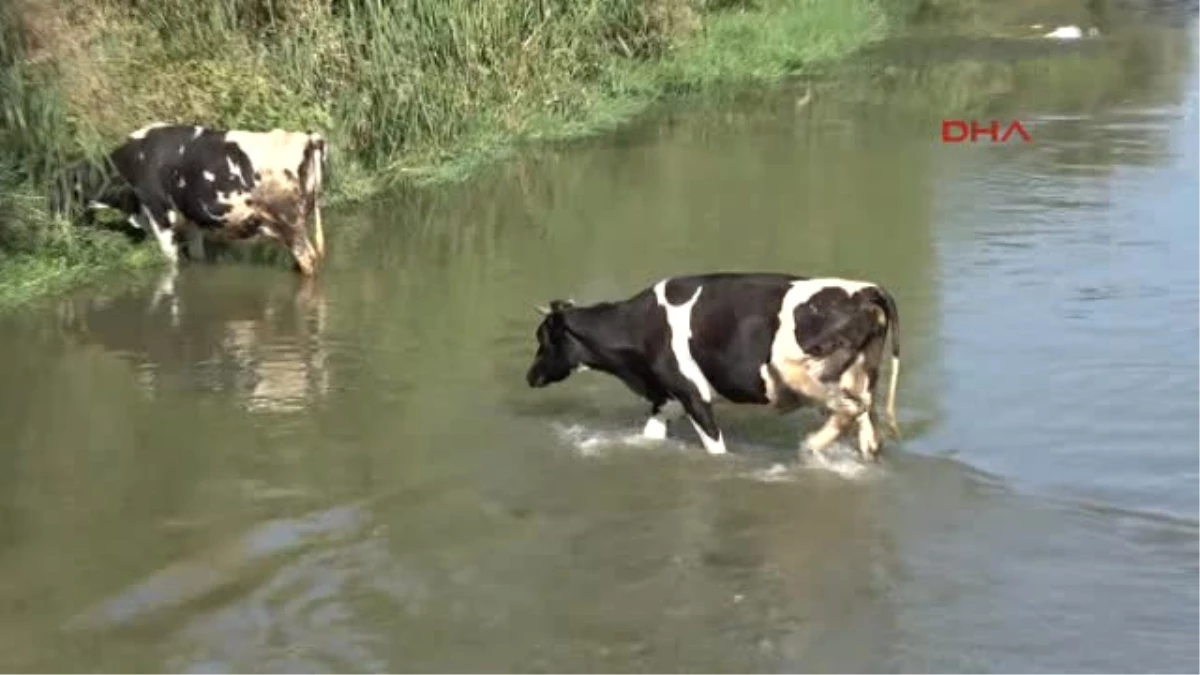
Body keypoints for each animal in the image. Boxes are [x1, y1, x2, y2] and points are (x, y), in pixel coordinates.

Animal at [51, 121, 331, 275]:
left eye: (61, 189)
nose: (56, 223)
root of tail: (307, 138)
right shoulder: (193, 219)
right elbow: (197, 256)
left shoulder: (158, 213)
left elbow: (170, 259)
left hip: (288, 223)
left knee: (307, 260)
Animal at [525, 270, 902, 458]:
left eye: (542, 338)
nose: (529, 377)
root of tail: (868, 290)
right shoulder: (666, 399)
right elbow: (650, 437)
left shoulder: (695, 397)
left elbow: (716, 450)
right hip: (860, 375)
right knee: (867, 427)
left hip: (799, 369)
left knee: (849, 408)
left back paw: (812, 445)